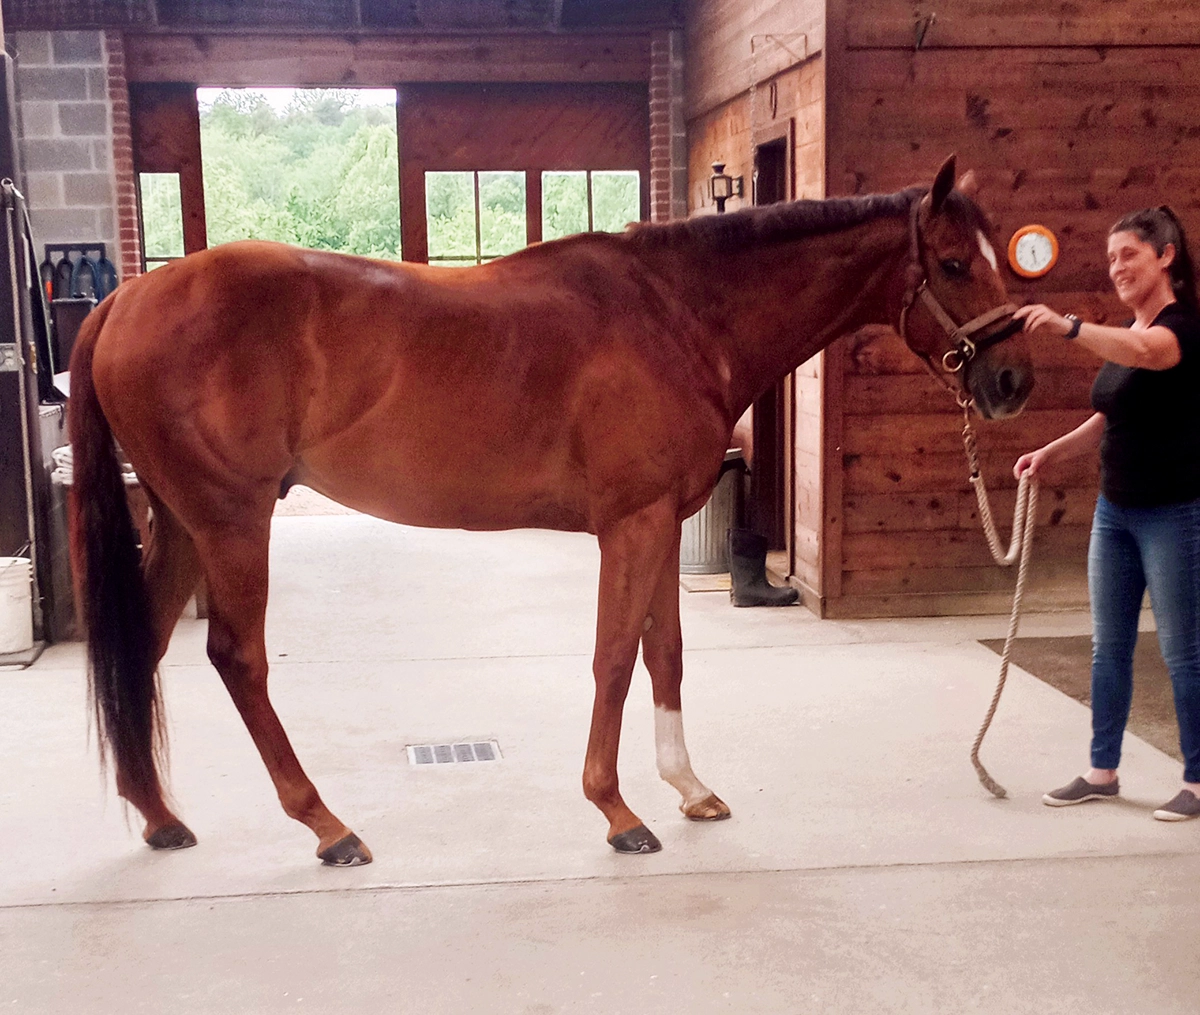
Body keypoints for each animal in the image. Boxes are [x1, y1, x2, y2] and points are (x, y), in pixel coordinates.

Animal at [68, 155, 1033, 866]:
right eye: (954, 263)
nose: (1012, 381)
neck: (679, 313)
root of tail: (127, 298)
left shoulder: (662, 523)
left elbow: (665, 654)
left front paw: (690, 789)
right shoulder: (631, 525)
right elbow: (614, 659)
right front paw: (618, 810)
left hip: (183, 523)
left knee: (146, 643)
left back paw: (160, 816)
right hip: (232, 522)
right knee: (236, 658)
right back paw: (327, 825)